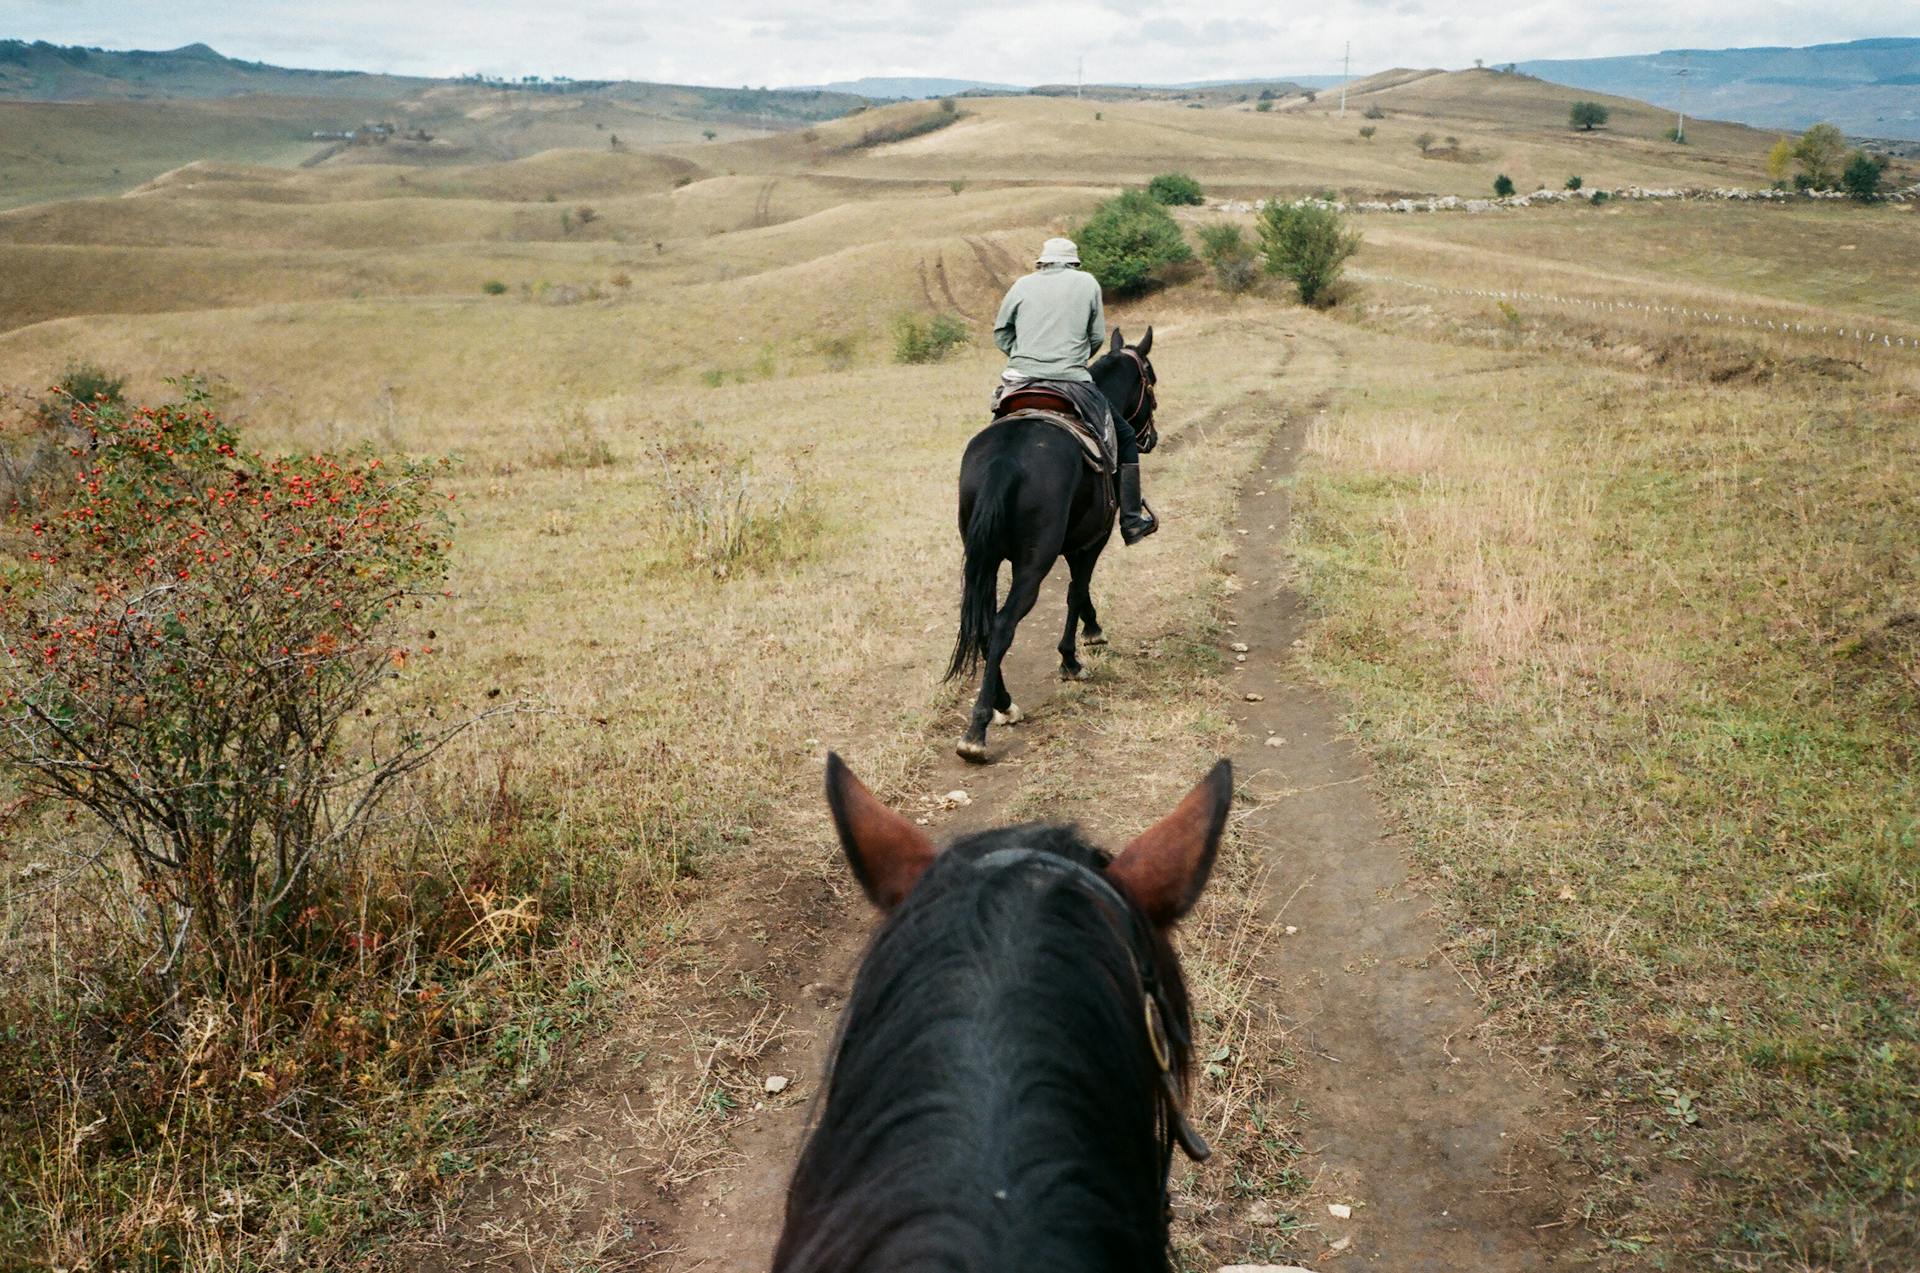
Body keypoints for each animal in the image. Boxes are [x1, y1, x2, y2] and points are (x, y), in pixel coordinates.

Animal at [940, 330, 1152, 768]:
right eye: (1151, 380)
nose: (1151, 437)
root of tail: (1005, 459)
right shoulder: (1091, 541)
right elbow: (1076, 592)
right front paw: (1075, 654)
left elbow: (1077, 593)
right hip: (1033, 565)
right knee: (1003, 624)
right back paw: (977, 731)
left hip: (984, 558)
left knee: (984, 624)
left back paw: (1003, 704)